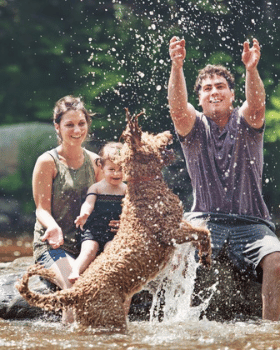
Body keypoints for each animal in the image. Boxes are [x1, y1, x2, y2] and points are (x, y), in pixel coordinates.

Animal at [16, 110, 211, 332]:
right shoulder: (169, 233)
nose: (170, 132)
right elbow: (202, 233)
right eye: (150, 136)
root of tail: (76, 292)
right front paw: (205, 255)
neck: (145, 186)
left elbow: (202, 232)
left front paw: (205, 256)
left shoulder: (178, 224)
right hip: (111, 318)